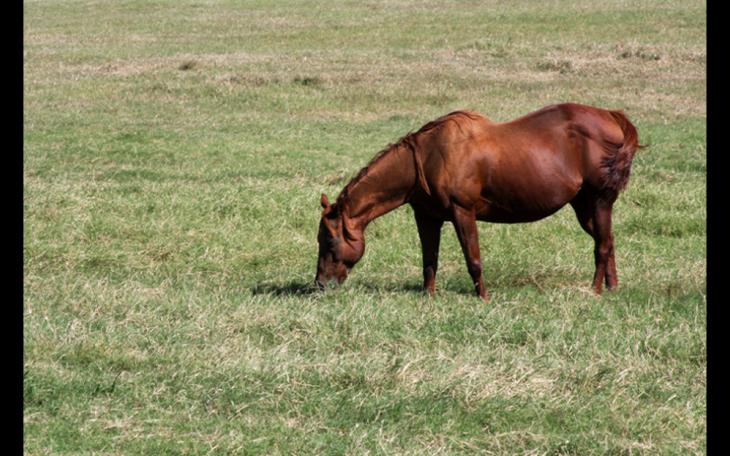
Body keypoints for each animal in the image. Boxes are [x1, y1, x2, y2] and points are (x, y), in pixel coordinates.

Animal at [315, 103, 643, 300]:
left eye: (329, 241)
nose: (320, 284)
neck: (427, 158)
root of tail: (611, 116)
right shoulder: (427, 217)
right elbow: (429, 260)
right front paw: (428, 296)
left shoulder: (463, 212)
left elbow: (473, 259)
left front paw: (483, 297)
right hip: (584, 206)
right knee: (607, 240)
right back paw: (612, 288)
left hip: (599, 201)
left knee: (602, 246)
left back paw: (595, 290)